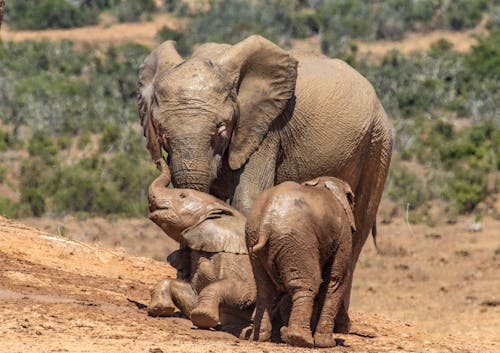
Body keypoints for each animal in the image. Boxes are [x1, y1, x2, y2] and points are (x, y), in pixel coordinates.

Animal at [146, 160, 256, 336]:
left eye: (182, 195)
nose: (158, 161)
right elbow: (189, 293)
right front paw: (160, 309)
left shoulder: (237, 261)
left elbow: (243, 291)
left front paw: (203, 317)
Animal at [246, 176, 356, 346]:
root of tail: (266, 222)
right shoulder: (344, 234)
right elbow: (336, 279)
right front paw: (327, 344)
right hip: (297, 240)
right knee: (307, 284)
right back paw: (301, 339)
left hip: (254, 239)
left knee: (264, 289)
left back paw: (261, 338)